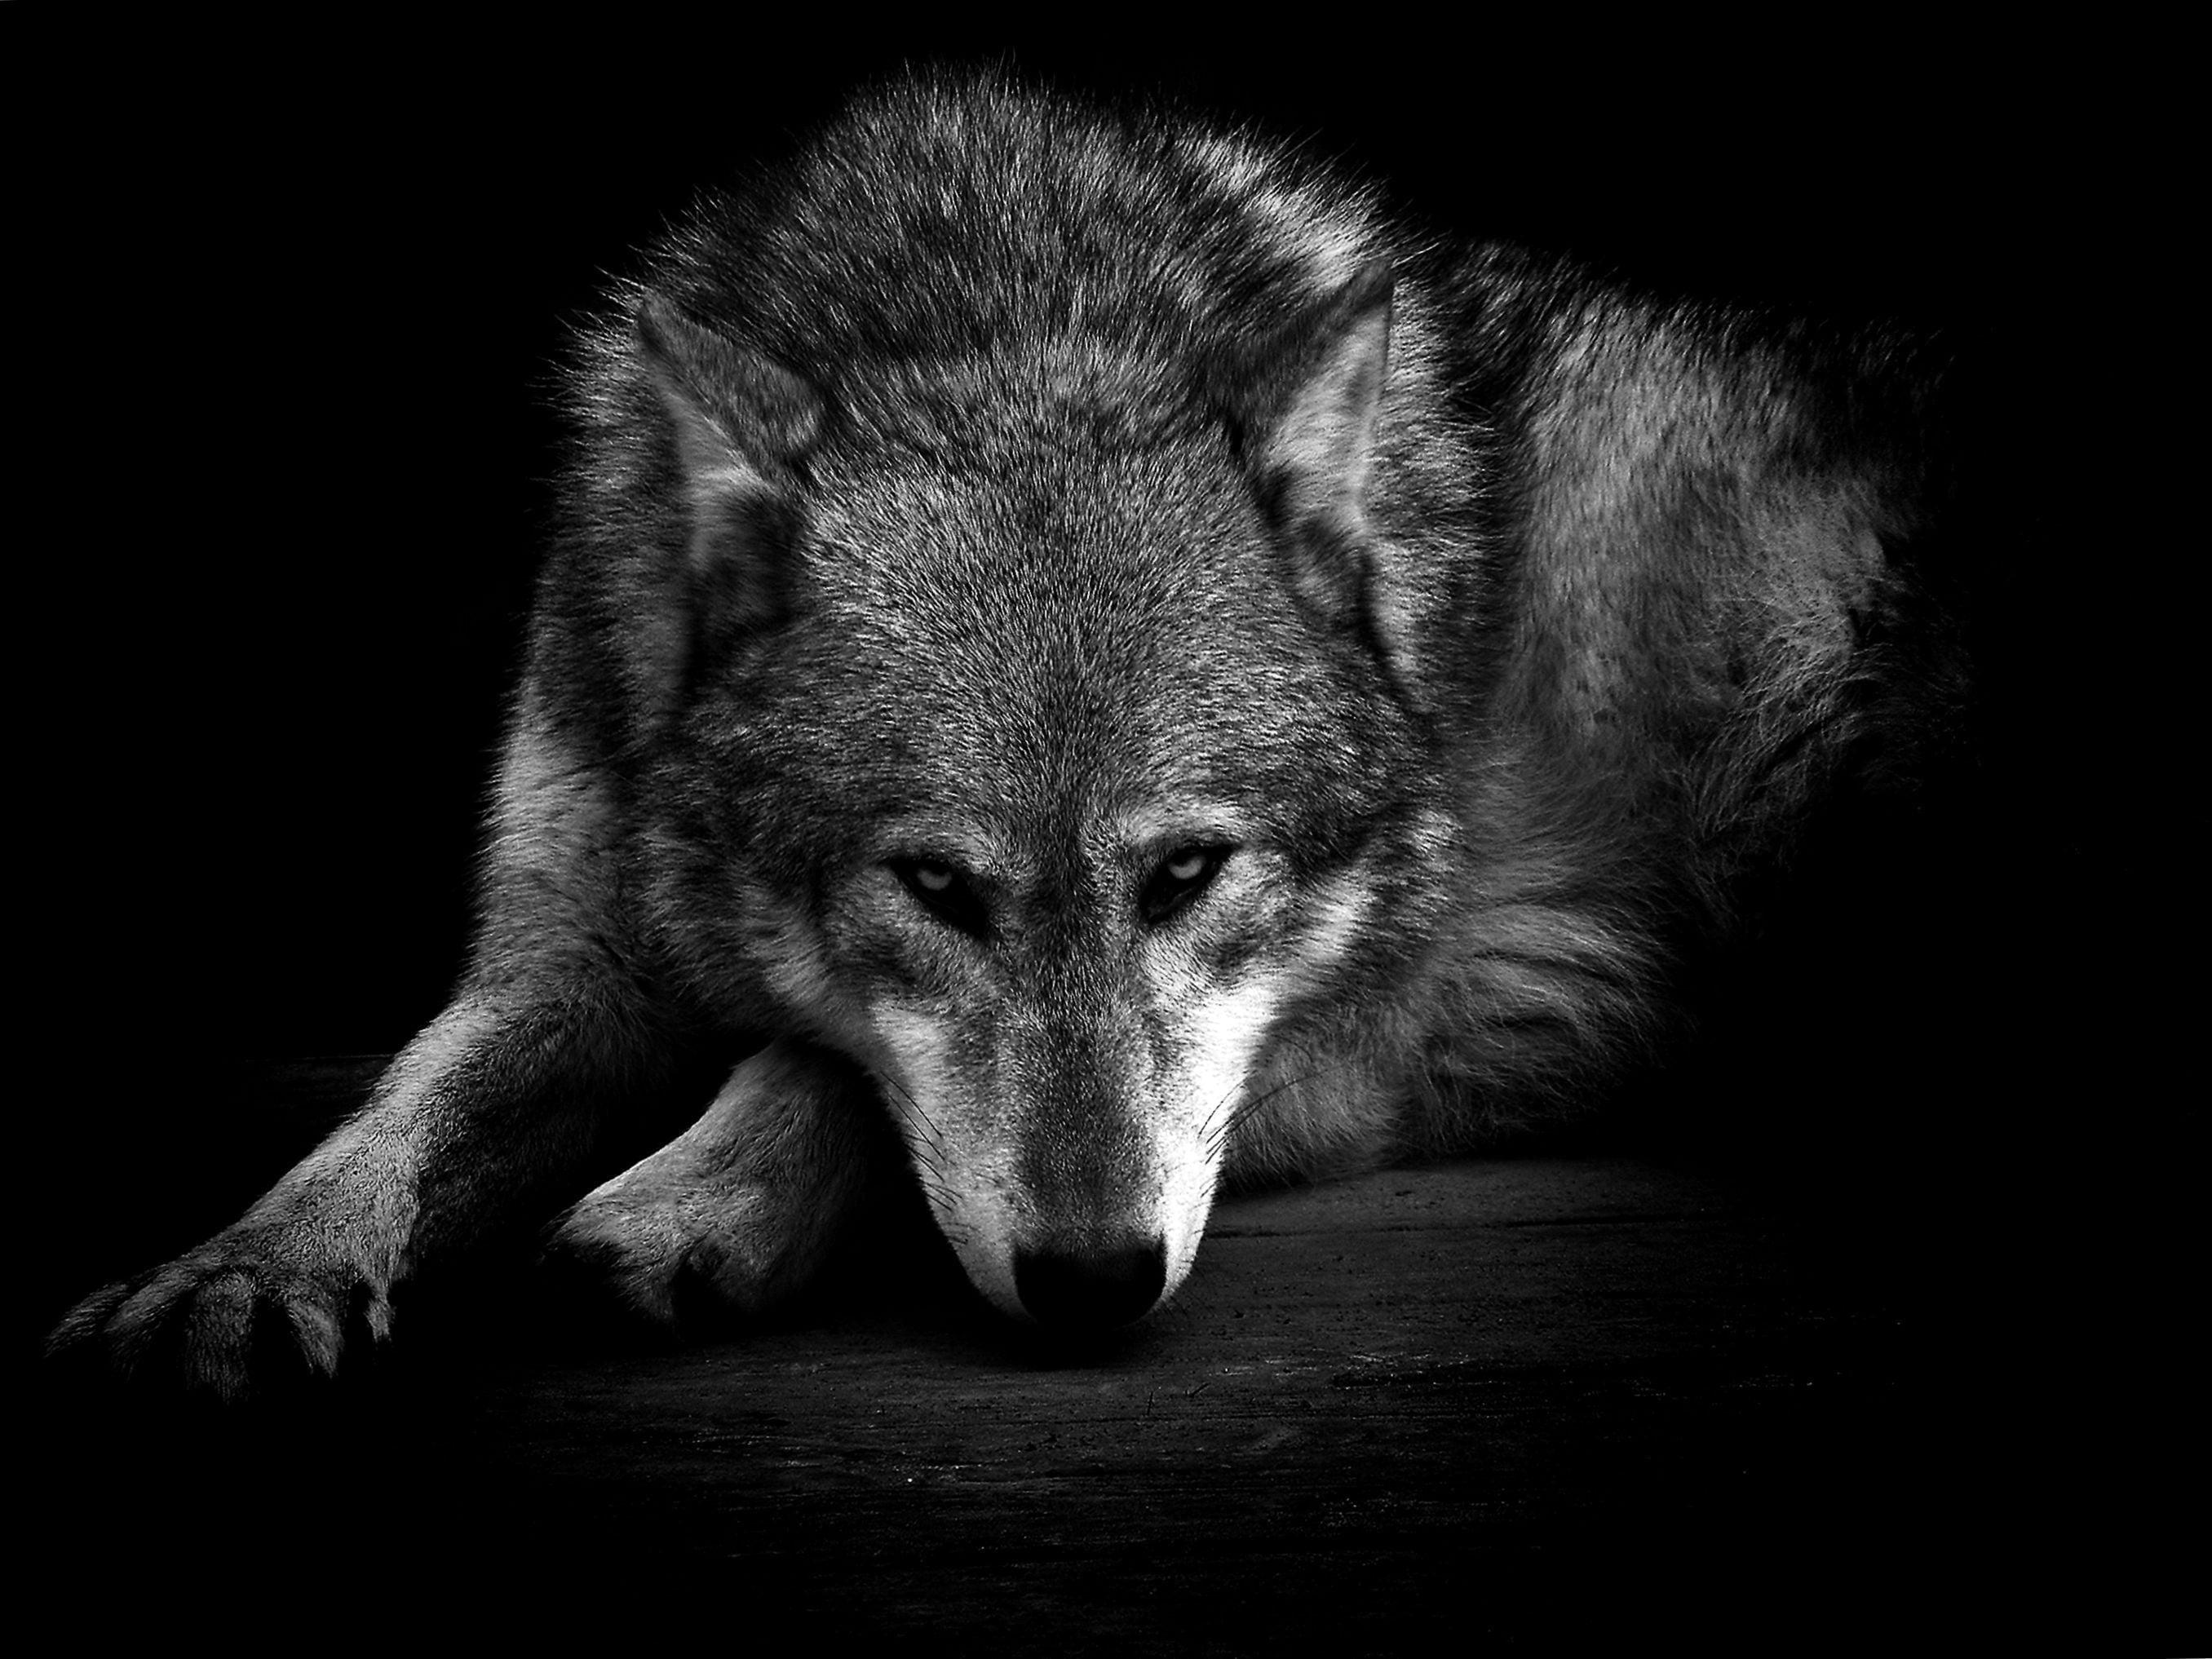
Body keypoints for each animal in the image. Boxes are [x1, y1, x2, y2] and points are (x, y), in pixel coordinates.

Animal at [52, 72, 1961, 1396]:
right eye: (936, 891)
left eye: (1187, 874)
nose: (1097, 1281)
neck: (1004, 318)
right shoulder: (565, 962)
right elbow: (393, 1109)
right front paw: (238, 1271)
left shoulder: (1468, 997)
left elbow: (816, 1061)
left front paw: (688, 1198)